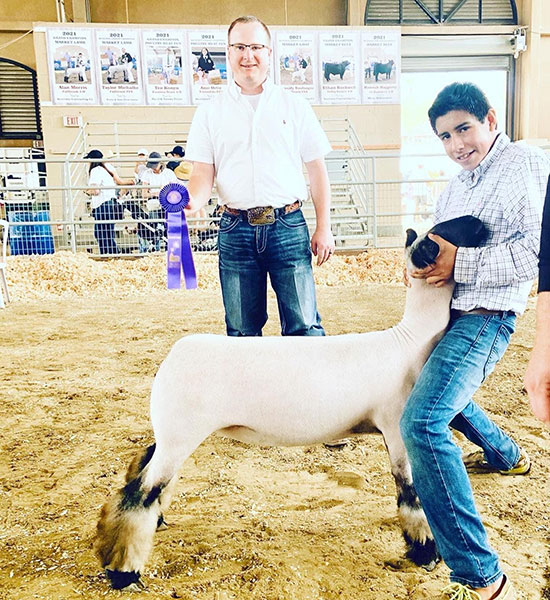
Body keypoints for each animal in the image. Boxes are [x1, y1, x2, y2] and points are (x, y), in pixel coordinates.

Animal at [97, 213, 490, 588]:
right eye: (450, 230)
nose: (483, 224)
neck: (411, 340)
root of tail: (175, 353)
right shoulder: (396, 428)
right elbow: (410, 495)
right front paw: (425, 552)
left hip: (171, 432)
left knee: (142, 469)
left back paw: (151, 525)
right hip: (180, 433)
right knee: (139, 495)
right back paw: (123, 571)